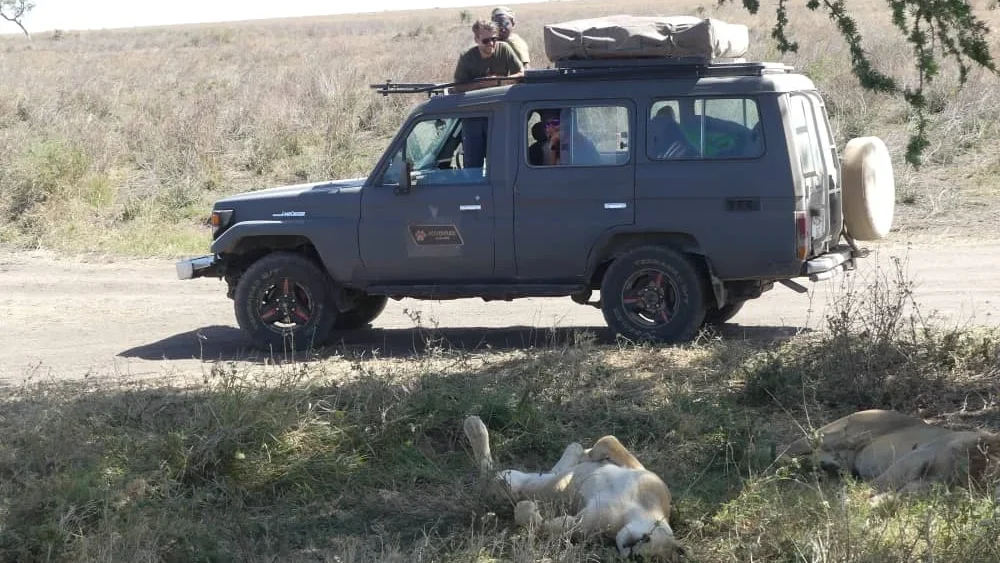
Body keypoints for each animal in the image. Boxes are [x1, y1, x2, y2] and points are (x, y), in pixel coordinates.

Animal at [463, 415, 685, 561]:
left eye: (643, 560)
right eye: (646, 539)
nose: (632, 554)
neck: (640, 511)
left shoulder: (581, 525)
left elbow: (542, 525)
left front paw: (528, 509)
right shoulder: (645, 474)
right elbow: (608, 441)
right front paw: (590, 454)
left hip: (500, 487)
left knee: (487, 474)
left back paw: (474, 427)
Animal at [776, 409, 1000, 496]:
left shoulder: (933, 483)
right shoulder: (920, 455)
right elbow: (880, 483)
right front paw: (852, 500)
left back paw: (826, 468)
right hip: (834, 434)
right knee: (783, 451)